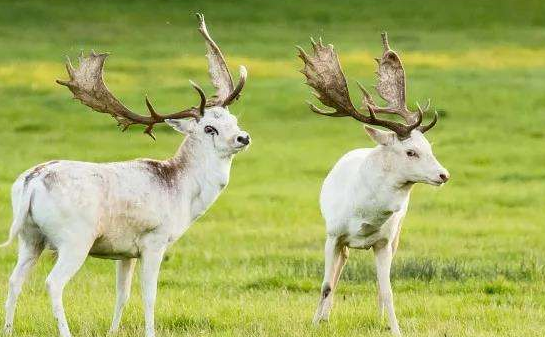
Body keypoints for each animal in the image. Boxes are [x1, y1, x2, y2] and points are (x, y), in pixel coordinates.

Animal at [0, 13, 249, 336]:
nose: (244, 137)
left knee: (14, 280)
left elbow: (123, 294)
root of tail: (33, 181)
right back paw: (64, 330)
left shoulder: (125, 251)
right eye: (210, 128)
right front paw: (150, 331)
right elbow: (149, 295)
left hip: (30, 236)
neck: (182, 192)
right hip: (74, 237)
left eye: (233, 119)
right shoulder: (155, 239)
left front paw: (112, 331)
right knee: (53, 283)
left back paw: (8, 329)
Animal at [298, 34, 450, 334]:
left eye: (429, 146)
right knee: (340, 265)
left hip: (397, 235)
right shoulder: (332, 234)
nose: (443, 175)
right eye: (411, 152)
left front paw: (396, 329)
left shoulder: (383, 242)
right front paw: (314, 324)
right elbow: (325, 284)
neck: (364, 215)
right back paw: (325, 316)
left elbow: (387, 290)